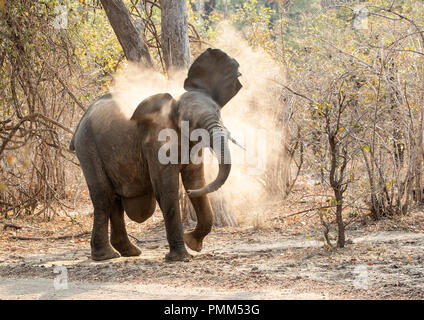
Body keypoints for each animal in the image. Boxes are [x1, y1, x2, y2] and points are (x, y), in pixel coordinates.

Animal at [69, 48, 242, 262]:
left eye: (218, 112)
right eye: (191, 121)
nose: (189, 192)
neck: (174, 104)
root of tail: (81, 121)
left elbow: (196, 180)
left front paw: (193, 243)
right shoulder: (156, 141)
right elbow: (166, 189)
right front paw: (181, 257)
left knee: (116, 199)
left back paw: (130, 252)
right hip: (87, 146)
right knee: (104, 196)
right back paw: (106, 256)